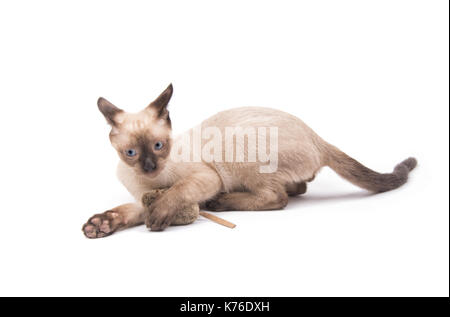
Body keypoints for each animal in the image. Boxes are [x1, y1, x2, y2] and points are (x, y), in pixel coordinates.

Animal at [82, 84, 416, 237]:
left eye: (158, 145)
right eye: (131, 153)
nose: (150, 167)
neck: (153, 182)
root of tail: (317, 137)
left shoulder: (204, 178)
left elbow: (176, 194)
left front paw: (160, 216)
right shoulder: (141, 197)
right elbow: (128, 211)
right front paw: (101, 224)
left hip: (239, 151)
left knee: (277, 197)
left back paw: (221, 202)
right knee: (299, 188)